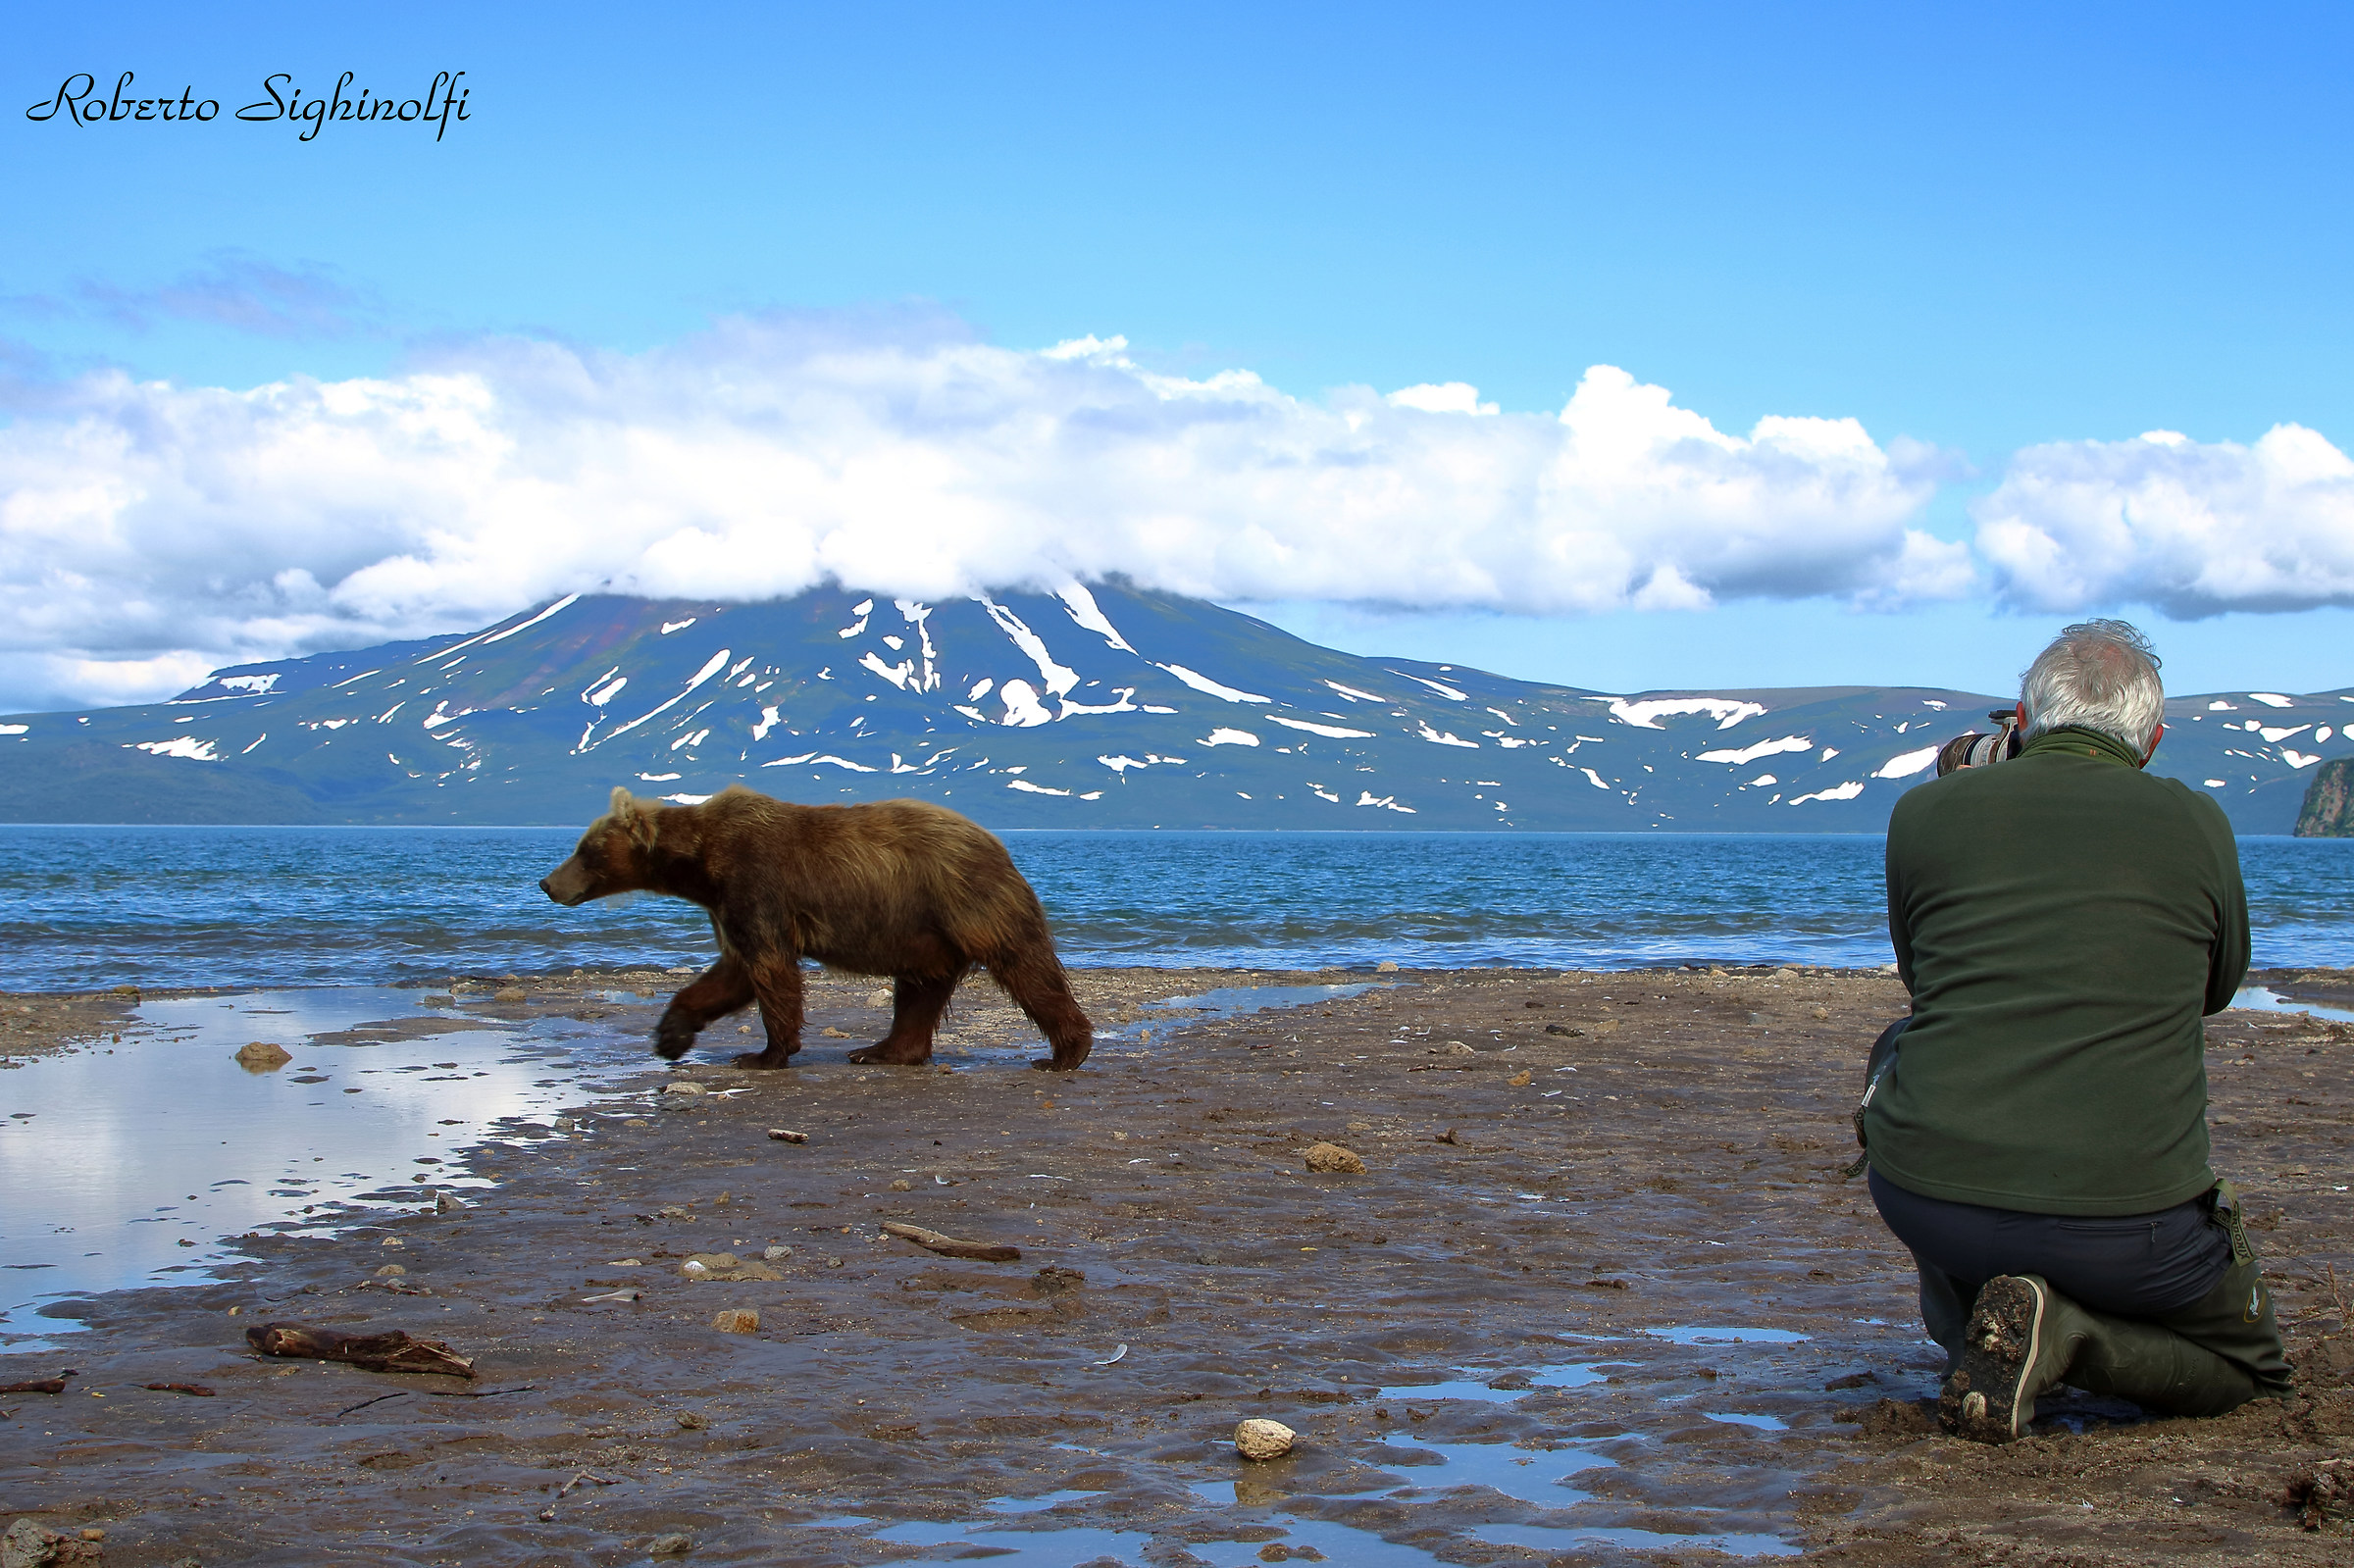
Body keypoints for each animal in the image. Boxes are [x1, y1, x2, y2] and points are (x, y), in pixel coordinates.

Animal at [540, 785, 1092, 1071]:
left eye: (584, 850)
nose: (548, 883)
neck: (701, 863)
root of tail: (1000, 845)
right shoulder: (727, 905)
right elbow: (731, 973)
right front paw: (670, 1036)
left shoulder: (756, 882)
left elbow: (768, 968)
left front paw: (763, 1053)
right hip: (921, 930)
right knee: (920, 989)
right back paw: (883, 1050)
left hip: (968, 900)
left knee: (1023, 965)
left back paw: (1066, 1051)